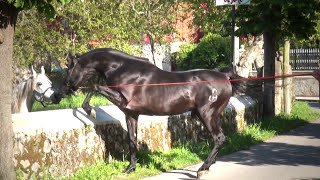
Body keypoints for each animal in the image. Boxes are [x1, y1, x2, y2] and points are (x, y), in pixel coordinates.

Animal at [57, 48, 242, 179]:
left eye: (68, 69)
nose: (59, 93)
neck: (123, 69)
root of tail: (225, 76)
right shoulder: (131, 114)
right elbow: (132, 141)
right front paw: (130, 169)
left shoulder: (122, 100)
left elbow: (95, 87)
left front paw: (90, 110)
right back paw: (208, 165)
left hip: (207, 115)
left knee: (219, 138)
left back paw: (202, 168)